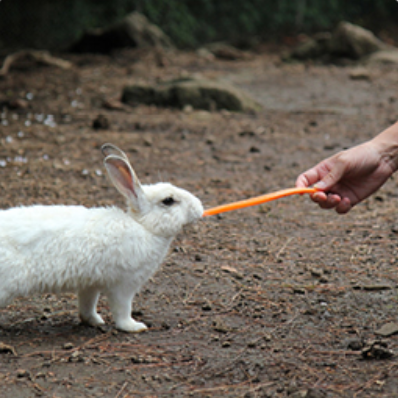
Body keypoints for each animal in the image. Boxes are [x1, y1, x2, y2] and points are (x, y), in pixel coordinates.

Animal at [0, 144, 202, 332]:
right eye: (168, 201)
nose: (199, 208)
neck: (144, 227)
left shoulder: (90, 284)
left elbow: (87, 304)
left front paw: (94, 321)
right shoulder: (124, 285)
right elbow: (122, 309)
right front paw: (134, 326)